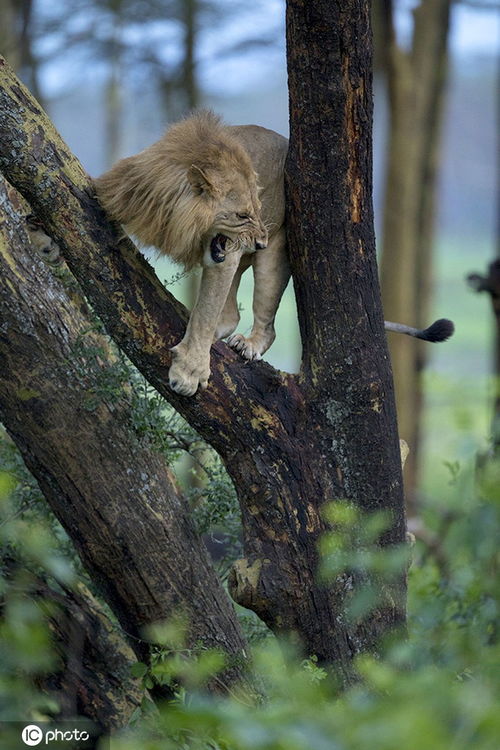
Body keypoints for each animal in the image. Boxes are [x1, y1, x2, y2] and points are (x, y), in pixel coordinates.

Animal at [94, 110, 454, 400]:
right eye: (242, 214)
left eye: (256, 207)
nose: (260, 242)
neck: (174, 218)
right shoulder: (120, 194)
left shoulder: (225, 256)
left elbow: (205, 314)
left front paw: (190, 372)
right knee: (230, 315)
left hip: (276, 257)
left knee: (264, 325)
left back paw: (247, 344)